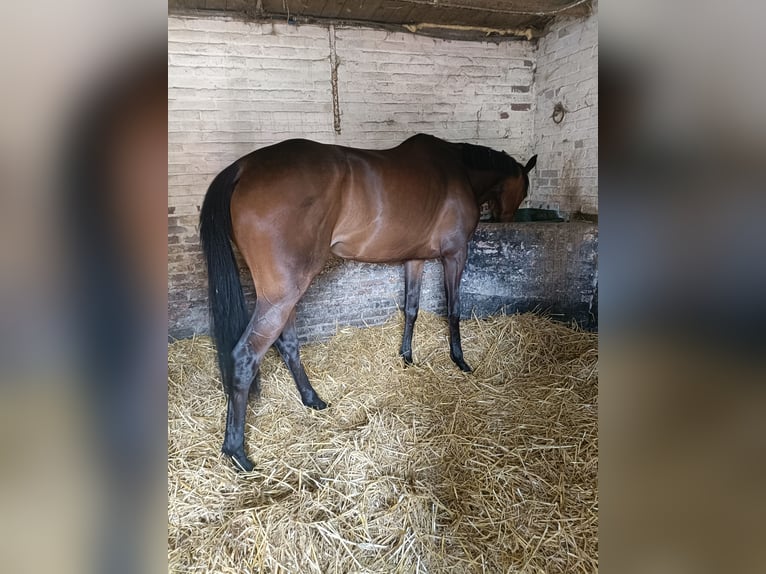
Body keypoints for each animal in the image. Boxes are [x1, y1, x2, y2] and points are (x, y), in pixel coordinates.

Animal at [201, 135, 536, 472]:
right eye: (524, 189)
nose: (507, 220)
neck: (459, 169)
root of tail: (244, 167)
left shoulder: (414, 258)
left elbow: (411, 308)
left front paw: (406, 356)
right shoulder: (455, 255)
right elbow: (453, 310)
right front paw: (460, 360)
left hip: (284, 295)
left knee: (288, 344)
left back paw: (312, 399)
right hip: (283, 295)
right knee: (246, 356)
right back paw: (237, 451)